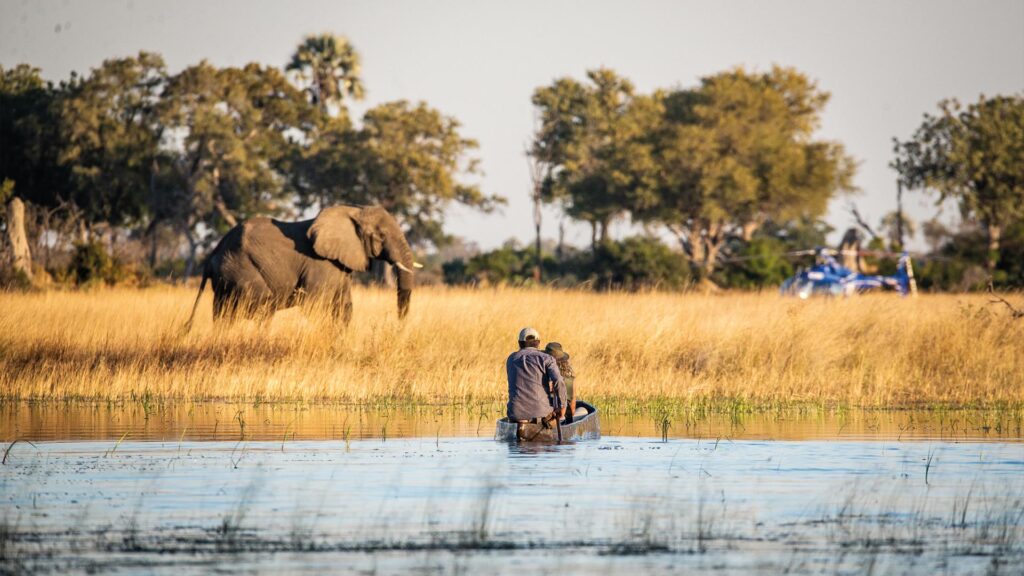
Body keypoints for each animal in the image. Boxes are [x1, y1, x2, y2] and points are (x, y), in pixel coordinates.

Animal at [186, 203, 417, 327]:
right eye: (381, 236)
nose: (399, 326)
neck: (351, 210)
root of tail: (213, 253)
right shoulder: (320, 264)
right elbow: (315, 305)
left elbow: (344, 307)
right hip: (239, 267)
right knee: (262, 304)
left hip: (226, 276)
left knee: (223, 312)